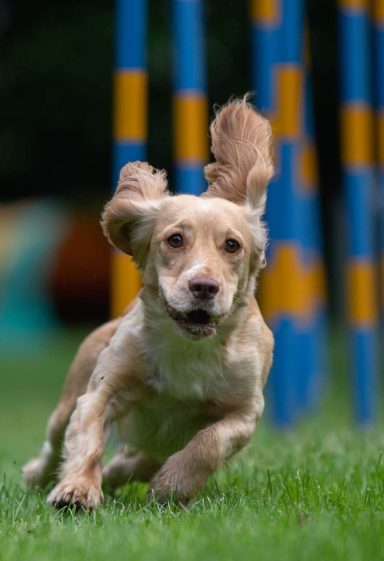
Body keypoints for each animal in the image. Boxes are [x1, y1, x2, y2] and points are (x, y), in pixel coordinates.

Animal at [22, 99, 274, 508]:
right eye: (175, 239)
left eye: (232, 245)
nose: (204, 286)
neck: (188, 345)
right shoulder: (103, 389)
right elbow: (87, 437)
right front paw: (77, 491)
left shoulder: (246, 409)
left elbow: (210, 442)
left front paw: (172, 485)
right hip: (72, 388)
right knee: (56, 439)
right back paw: (38, 474)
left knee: (140, 459)